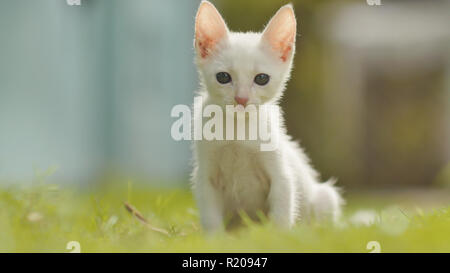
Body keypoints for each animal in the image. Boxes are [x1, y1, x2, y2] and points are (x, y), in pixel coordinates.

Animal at [192, 1, 342, 231]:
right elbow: (211, 218)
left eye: (261, 78)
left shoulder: (282, 177)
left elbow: (281, 213)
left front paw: (279, 236)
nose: (241, 99)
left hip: (325, 198)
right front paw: (214, 237)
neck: (238, 130)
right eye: (223, 77)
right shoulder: (206, 178)